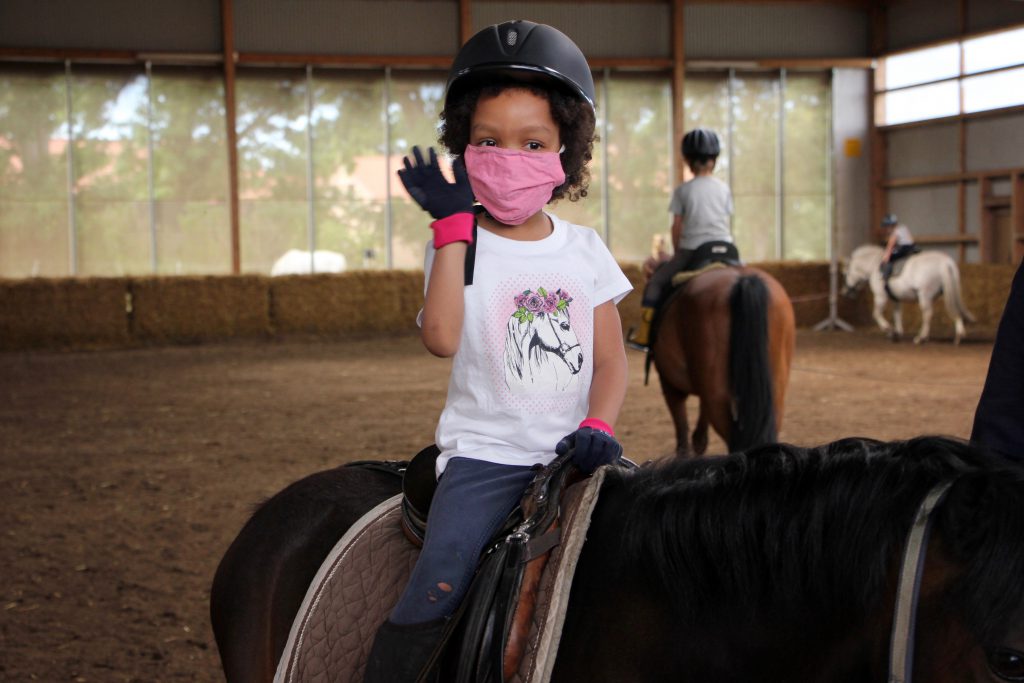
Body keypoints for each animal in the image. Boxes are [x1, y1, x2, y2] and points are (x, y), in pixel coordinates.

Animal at [651, 266, 794, 454]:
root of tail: (743, 280)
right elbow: (699, 437)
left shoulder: (670, 386)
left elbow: (683, 439)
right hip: (775, 393)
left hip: (716, 397)